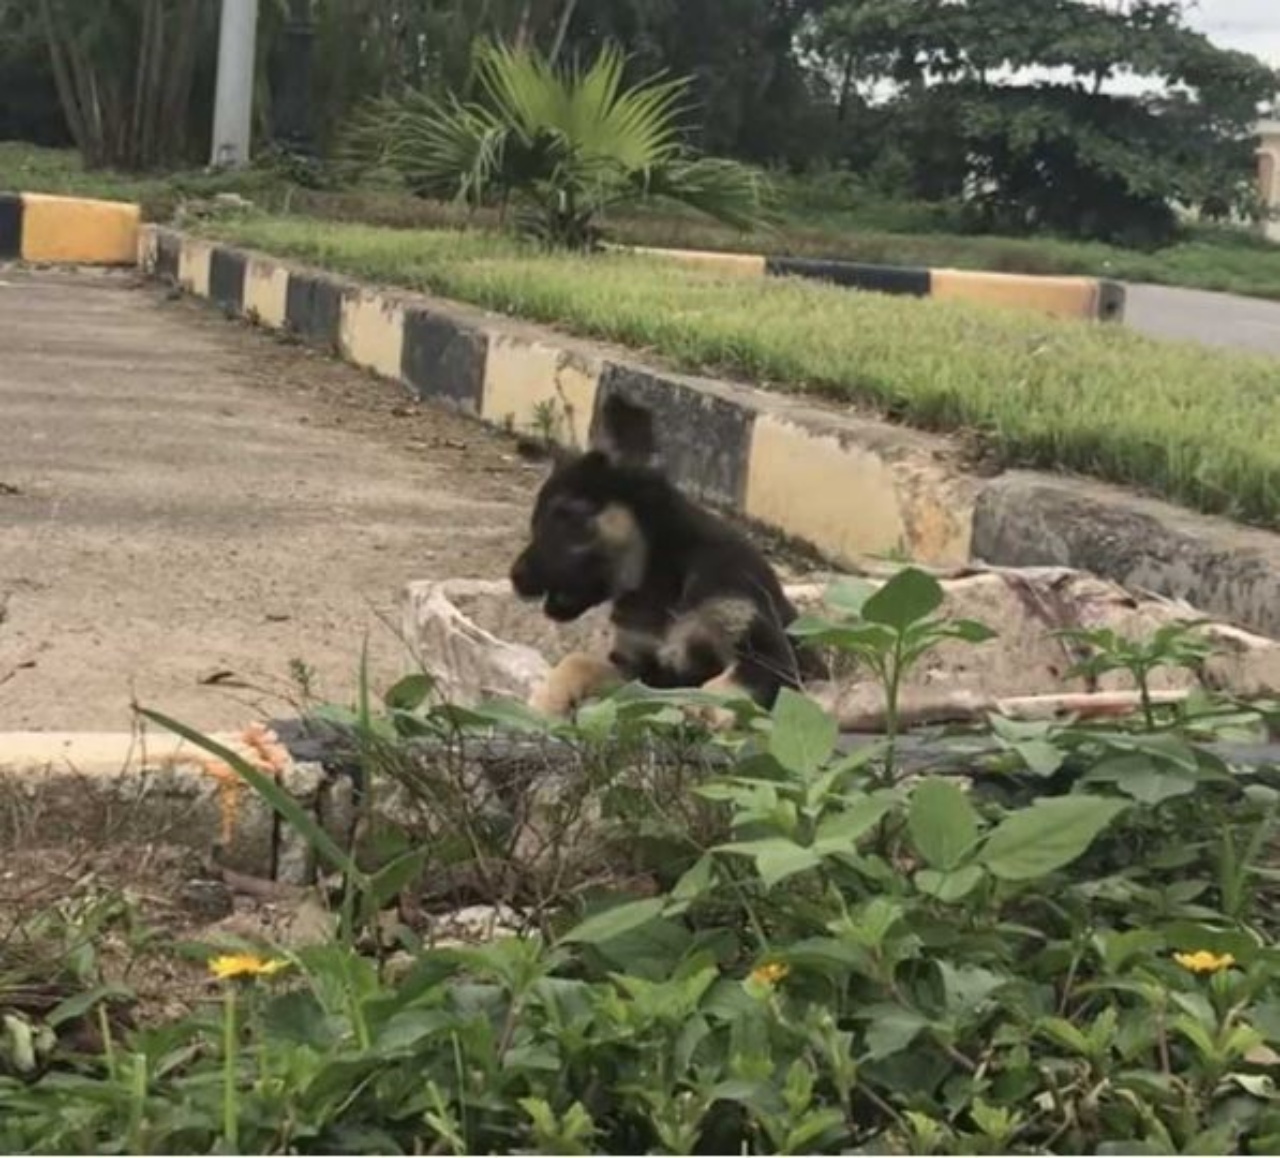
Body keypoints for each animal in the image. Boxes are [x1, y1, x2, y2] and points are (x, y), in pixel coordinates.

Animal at [506, 394, 814, 716]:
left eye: (569, 515)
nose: (514, 578)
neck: (664, 578)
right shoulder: (640, 672)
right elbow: (578, 660)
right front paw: (546, 700)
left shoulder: (770, 655)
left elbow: (727, 684)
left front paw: (704, 710)